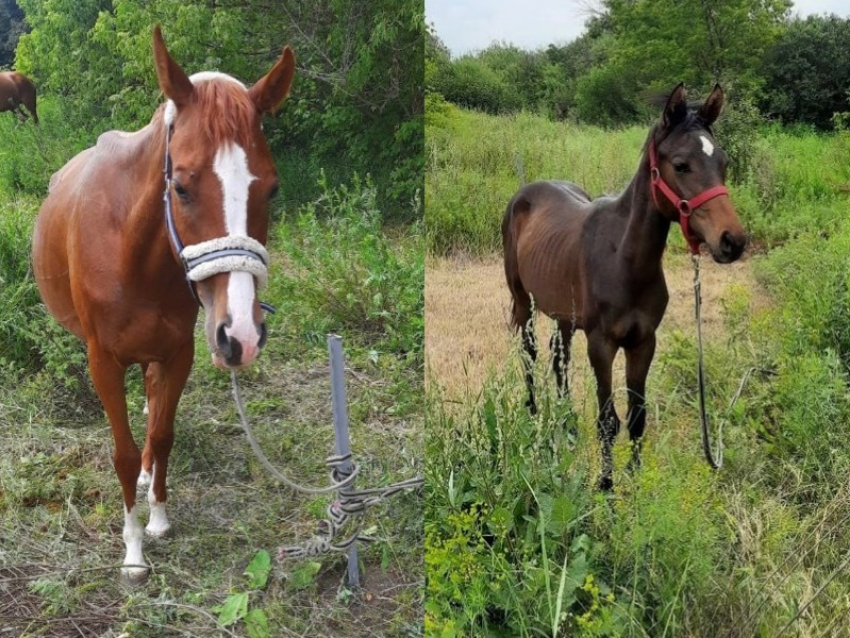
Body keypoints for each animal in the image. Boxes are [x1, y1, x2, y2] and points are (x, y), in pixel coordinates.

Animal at [30, 26, 294, 584]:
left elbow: (162, 434)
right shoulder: (103, 361)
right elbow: (124, 454)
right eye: (181, 186)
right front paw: (132, 551)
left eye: (272, 189)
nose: (241, 334)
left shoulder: (177, 354)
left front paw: (157, 518)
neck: (133, 254)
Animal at [500, 85, 744, 492]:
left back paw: (566, 423)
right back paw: (533, 412)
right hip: (523, 301)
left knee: (558, 356)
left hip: (564, 315)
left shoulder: (643, 341)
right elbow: (607, 419)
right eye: (681, 164)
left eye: (723, 162)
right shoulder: (601, 344)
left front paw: (636, 477)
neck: (625, 261)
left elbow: (636, 415)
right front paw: (606, 485)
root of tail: (525, 192)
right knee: (530, 351)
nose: (733, 241)